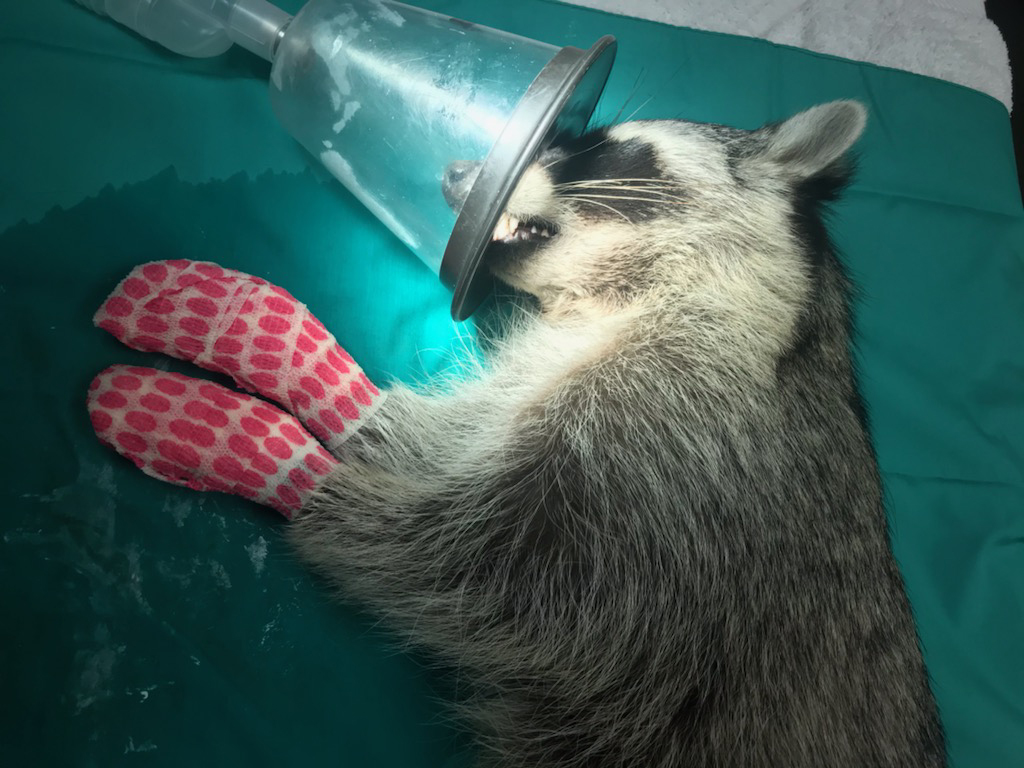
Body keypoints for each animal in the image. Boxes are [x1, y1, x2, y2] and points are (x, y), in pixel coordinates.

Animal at [292, 101, 947, 767]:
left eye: (598, 148)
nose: (453, 174)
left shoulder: (682, 441)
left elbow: (500, 578)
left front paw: (325, 493)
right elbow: (470, 431)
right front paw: (357, 411)